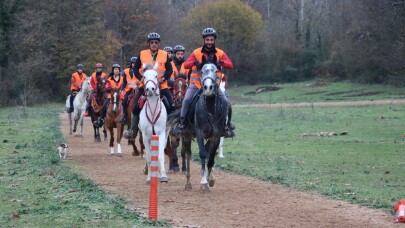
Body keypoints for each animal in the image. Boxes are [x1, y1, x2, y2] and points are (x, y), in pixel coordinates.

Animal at [166, 63, 227, 191]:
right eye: (202, 71)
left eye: (216, 71)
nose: (208, 88)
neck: (210, 108)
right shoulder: (199, 134)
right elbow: (202, 153)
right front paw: (203, 182)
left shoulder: (216, 136)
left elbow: (211, 156)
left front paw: (210, 180)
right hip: (186, 135)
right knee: (186, 153)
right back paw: (187, 180)